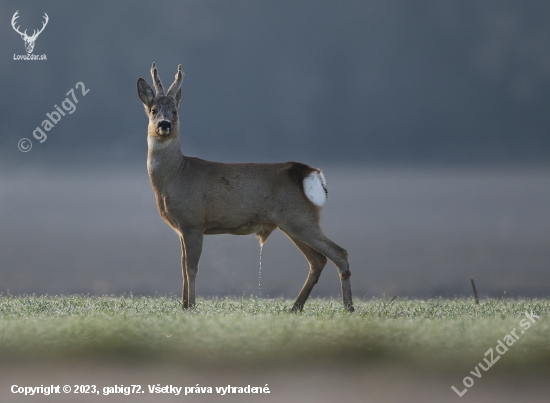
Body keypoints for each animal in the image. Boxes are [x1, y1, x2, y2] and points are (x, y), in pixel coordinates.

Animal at [136, 64, 356, 314]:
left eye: (175, 112)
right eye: (153, 110)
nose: (164, 124)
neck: (175, 176)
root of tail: (309, 173)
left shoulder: (193, 222)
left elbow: (191, 269)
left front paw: (191, 306)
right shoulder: (182, 228)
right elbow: (183, 268)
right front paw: (184, 306)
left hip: (300, 219)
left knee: (340, 253)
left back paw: (349, 308)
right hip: (293, 223)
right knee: (318, 260)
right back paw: (295, 308)